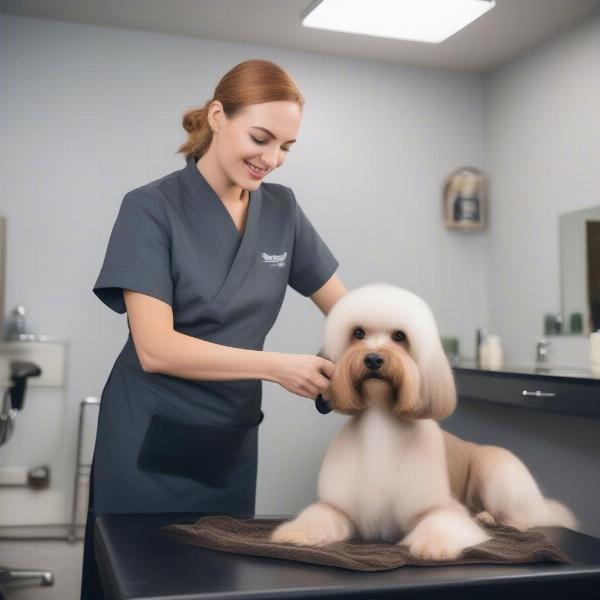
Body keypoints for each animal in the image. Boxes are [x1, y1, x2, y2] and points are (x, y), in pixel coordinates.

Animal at [272, 284, 576, 560]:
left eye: (399, 336)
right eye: (358, 333)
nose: (373, 358)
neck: (380, 421)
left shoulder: (438, 507)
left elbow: (440, 524)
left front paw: (434, 547)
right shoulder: (340, 507)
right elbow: (318, 516)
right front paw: (295, 534)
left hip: (498, 470)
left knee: (522, 516)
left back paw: (495, 519)